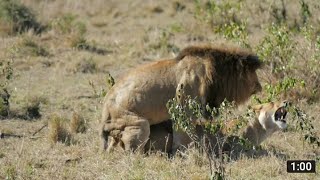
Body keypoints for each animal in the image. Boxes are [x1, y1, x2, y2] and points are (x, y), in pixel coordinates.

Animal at [100, 45, 262, 152]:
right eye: (252, 74)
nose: (260, 87)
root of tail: (104, 112)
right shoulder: (185, 107)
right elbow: (184, 135)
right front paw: (186, 152)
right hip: (138, 124)